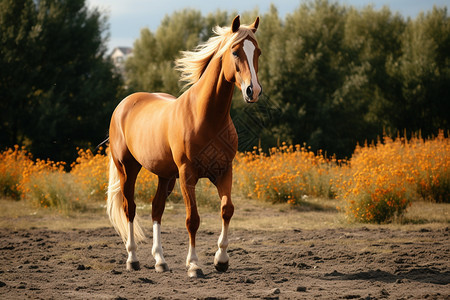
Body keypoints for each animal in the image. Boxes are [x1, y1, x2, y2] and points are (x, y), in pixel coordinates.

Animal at [106, 15, 260, 278]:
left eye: (257, 52)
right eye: (235, 51)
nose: (253, 90)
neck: (206, 117)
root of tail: (125, 104)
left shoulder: (224, 171)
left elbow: (227, 209)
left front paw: (221, 260)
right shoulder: (187, 175)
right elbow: (192, 219)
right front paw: (194, 265)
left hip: (165, 176)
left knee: (156, 209)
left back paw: (160, 261)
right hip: (127, 168)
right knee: (130, 208)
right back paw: (132, 259)